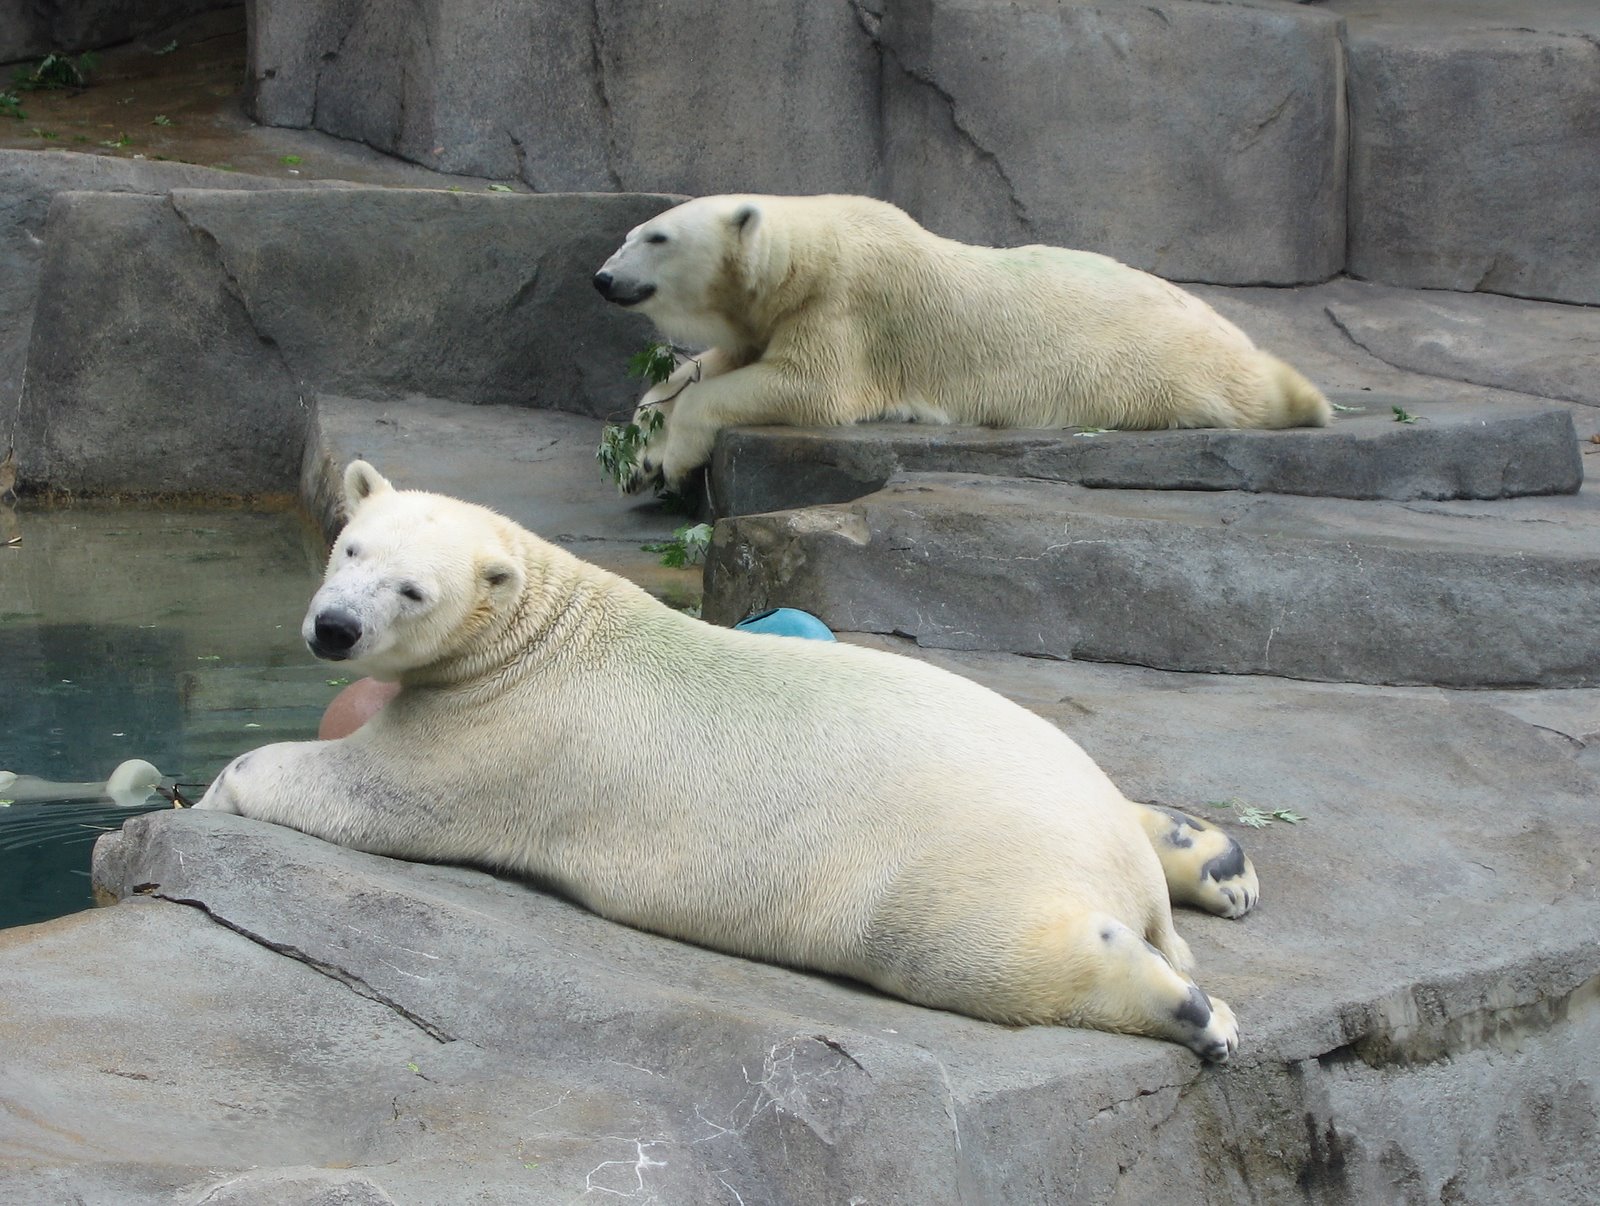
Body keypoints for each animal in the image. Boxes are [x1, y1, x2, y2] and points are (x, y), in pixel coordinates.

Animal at [198, 460, 1260, 1060]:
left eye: (412, 590)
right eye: (349, 547)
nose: (334, 629)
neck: (541, 631)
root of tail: (1122, 874)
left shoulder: (496, 736)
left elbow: (372, 790)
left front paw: (216, 791)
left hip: (953, 867)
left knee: (966, 949)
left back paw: (1192, 1010)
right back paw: (1209, 857)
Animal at [593, 193, 1331, 491]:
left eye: (656, 236)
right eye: (631, 232)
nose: (602, 278)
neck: (806, 252)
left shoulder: (847, 306)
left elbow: (807, 385)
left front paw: (673, 458)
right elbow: (706, 367)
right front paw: (641, 452)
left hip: (1146, 364)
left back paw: (1305, 400)